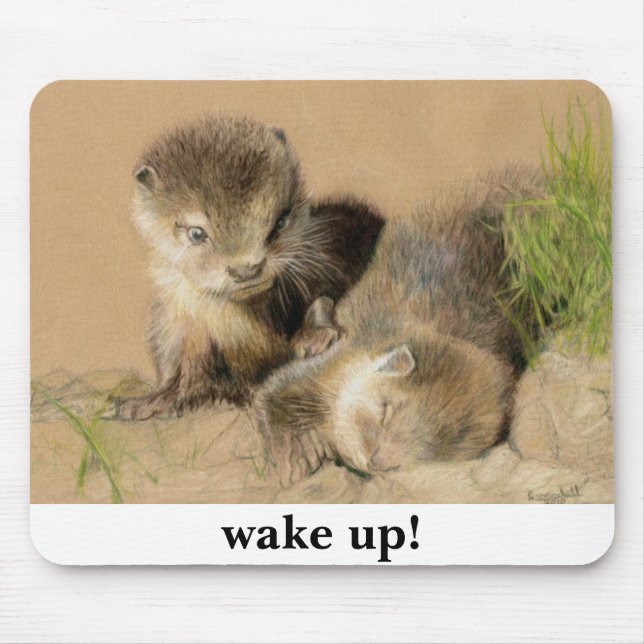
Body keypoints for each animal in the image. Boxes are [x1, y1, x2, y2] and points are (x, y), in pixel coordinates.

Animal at [115, 116, 383, 420]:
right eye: (196, 233)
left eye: (280, 221)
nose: (245, 269)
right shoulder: (176, 323)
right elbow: (182, 369)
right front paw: (154, 400)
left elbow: (322, 298)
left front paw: (314, 334)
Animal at [255, 165, 544, 486]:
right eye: (386, 410)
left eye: (425, 452)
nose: (378, 461)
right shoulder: (338, 360)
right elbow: (271, 392)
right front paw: (292, 456)